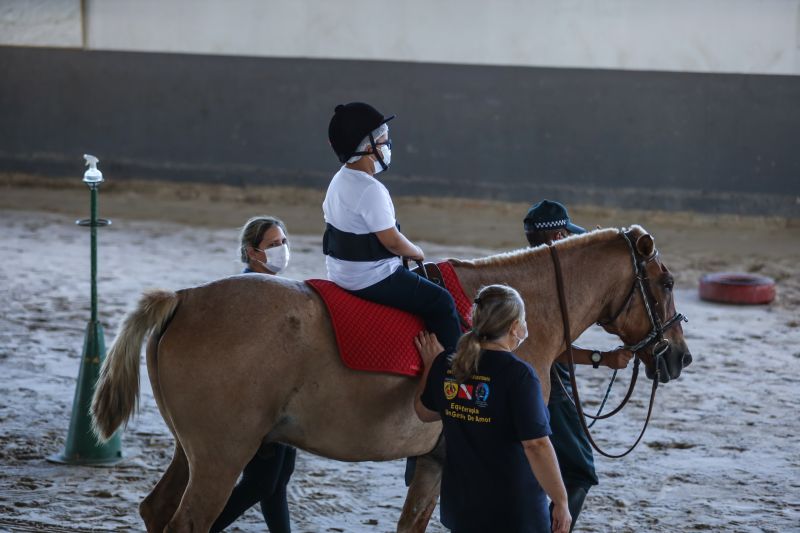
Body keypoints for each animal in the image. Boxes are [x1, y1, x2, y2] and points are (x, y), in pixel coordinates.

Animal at [92, 225, 692, 532]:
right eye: (665, 281)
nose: (678, 357)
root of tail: (184, 300)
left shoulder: (433, 462)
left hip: (194, 451)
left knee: (156, 510)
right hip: (221, 457)